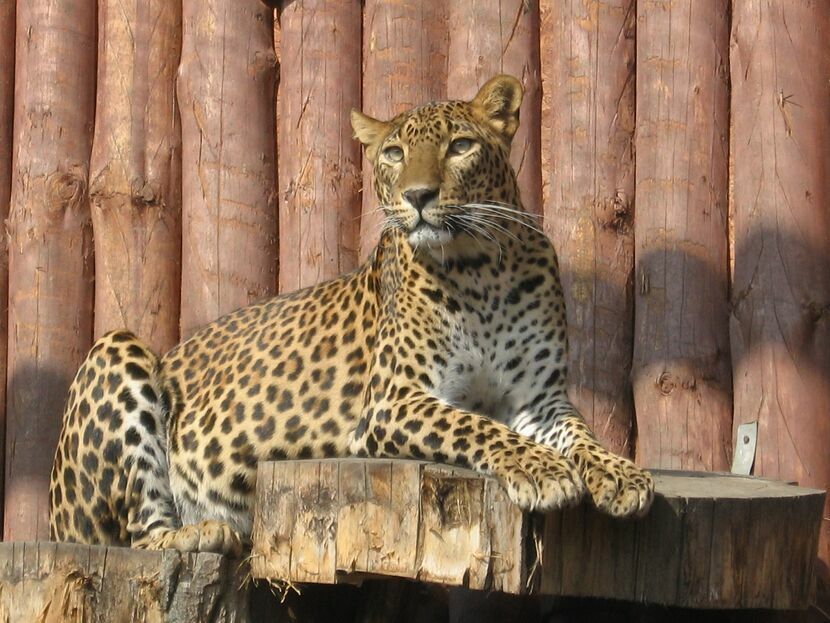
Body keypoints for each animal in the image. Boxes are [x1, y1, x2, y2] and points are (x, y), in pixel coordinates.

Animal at [50, 74, 656, 556]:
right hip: (114, 350)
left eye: (460, 146)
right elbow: (479, 425)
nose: (418, 196)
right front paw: (541, 469)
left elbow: (582, 435)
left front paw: (621, 475)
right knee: (140, 531)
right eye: (393, 154)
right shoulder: (393, 400)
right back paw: (199, 533)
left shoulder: (539, 399)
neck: (480, 268)